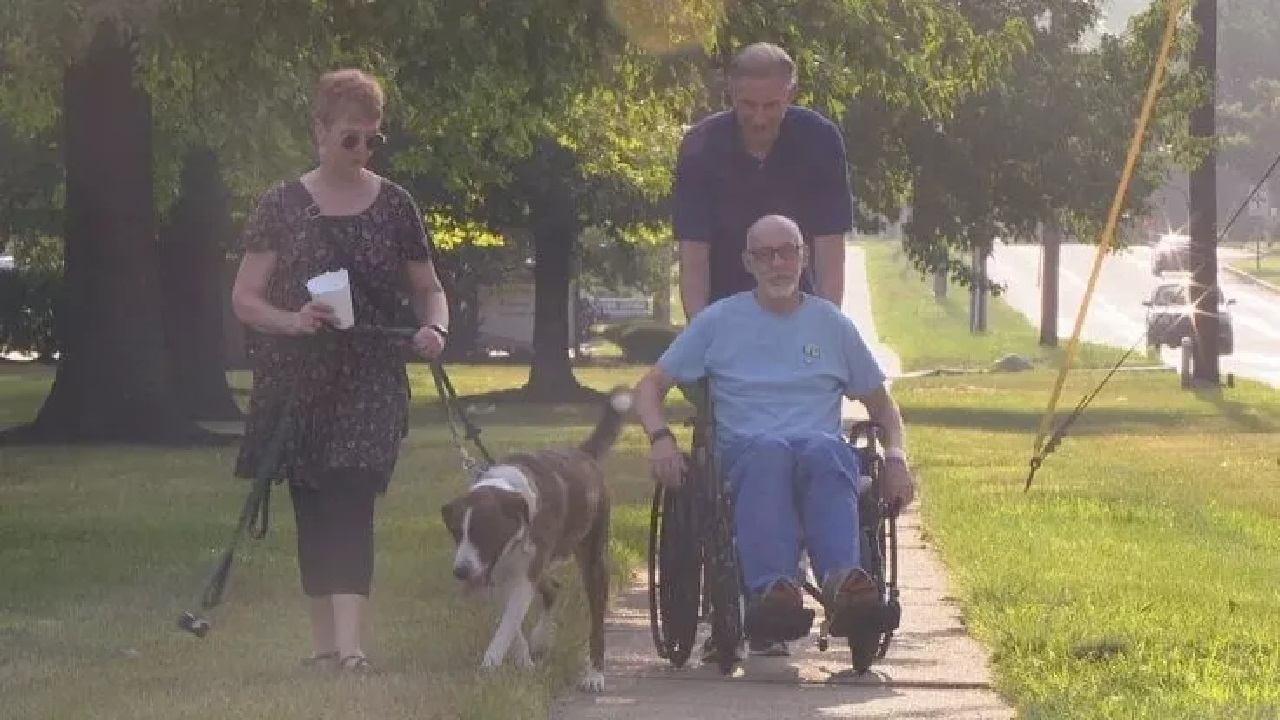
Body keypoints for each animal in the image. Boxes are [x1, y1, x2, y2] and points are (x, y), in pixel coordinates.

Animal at [440, 384, 629, 691]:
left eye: (484, 532)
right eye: (457, 532)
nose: (461, 572)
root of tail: (583, 455)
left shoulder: (523, 573)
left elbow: (508, 622)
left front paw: (489, 664)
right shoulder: (501, 573)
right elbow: (512, 623)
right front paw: (524, 661)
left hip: (593, 556)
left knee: (596, 620)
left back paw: (594, 674)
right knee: (553, 588)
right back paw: (541, 640)